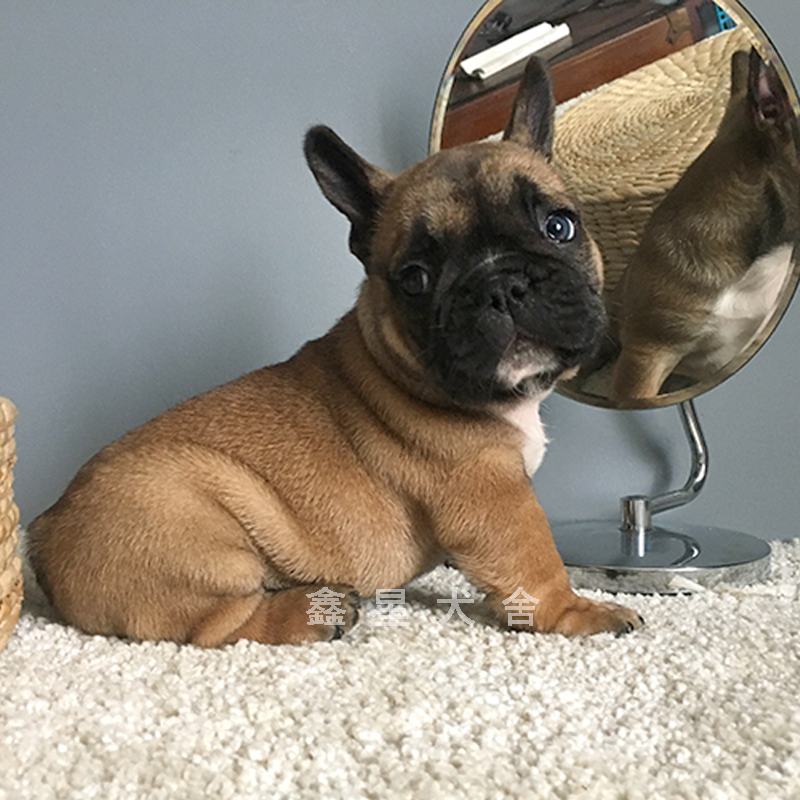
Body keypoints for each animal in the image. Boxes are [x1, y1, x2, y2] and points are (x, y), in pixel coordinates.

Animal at [27, 58, 642, 646]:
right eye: (414, 279)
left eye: (559, 226)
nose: (501, 286)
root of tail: (43, 533)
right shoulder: (492, 496)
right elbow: (536, 565)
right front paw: (579, 613)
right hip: (196, 537)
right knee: (218, 625)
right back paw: (311, 612)